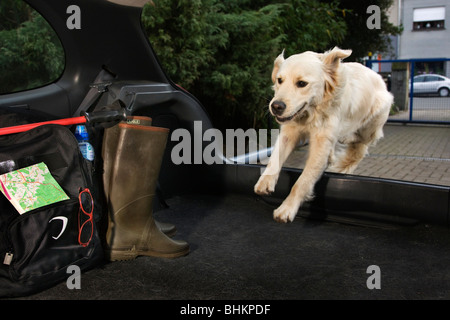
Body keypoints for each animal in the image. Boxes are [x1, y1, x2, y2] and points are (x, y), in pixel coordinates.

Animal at [255, 47, 392, 222]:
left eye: (302, 83)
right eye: (280, 80)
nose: (276, 106)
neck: (311, 113)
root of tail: (380, 78)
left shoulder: (321, 143)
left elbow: (303, 181)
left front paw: (287, 208)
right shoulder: (290, 131)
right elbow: (275, 158)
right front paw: (265, 181)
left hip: (370, 124)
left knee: (359, 148)